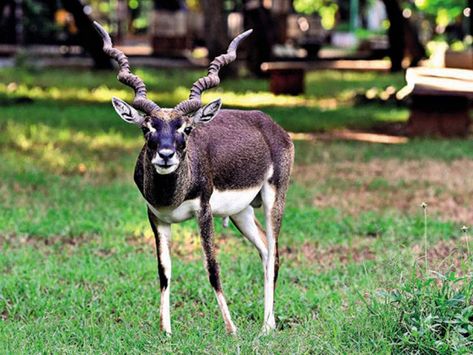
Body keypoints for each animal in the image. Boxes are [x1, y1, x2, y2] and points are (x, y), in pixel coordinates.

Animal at [94, 23, 294, 336]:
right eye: (147, 128)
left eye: (186, 129)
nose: (166, 155)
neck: (172, 195)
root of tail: (270, 125)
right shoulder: (156, 217)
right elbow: (164, 271)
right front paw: (165, 331)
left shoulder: (204, 211)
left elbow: (212, 268)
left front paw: (231, 329)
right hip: (242, 211)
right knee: (264, 249)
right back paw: (268, 324)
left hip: (275, 197)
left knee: (274, 252)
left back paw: (265, 327)